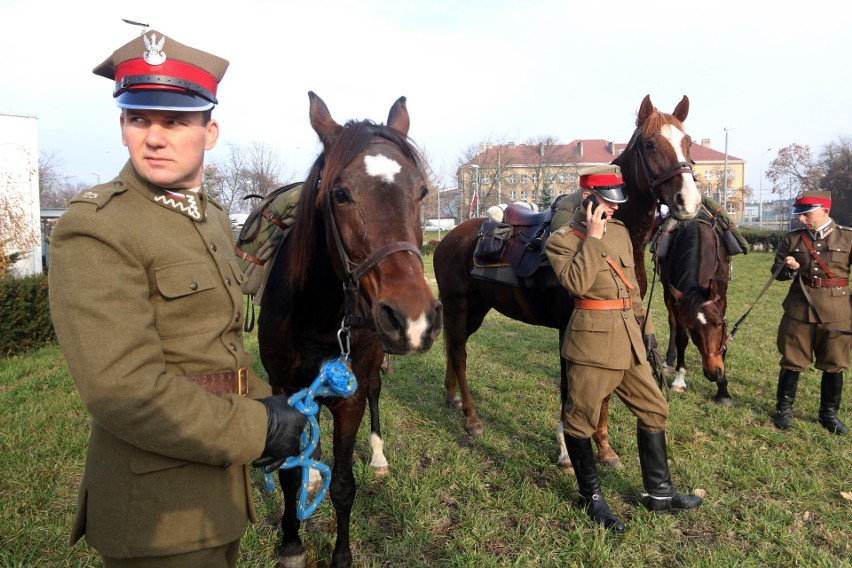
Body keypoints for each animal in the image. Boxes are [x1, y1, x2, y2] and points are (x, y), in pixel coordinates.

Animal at [260, 93, 442, 568]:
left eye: (421, 192)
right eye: (340, 194)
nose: (414, 318)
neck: (319, 314)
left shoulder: (351, 397)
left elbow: (343, 485)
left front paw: (340, 556)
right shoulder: (286, 390)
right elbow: (289, 478)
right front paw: (292, 543)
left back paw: (376, 456)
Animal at [656, 213, 736, 404]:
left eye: (719, 324)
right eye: (692, 329)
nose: (713, 372)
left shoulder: (721, 297)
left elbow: (724, 341)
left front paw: (723, 389)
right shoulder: (678, 300)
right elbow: (681, 339)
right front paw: (679, 379)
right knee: (672, 324)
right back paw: (669, 360)